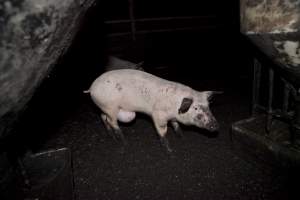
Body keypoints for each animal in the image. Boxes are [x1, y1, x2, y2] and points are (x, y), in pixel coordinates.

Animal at [84, 69, 220, 152]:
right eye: (196, 108)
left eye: (208, 106)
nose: (215, 126)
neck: (175, 105)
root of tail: (91, 88)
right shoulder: (158, 115)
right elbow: (162, 132)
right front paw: (170, 151)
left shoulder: (172, 117)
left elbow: (176, 125)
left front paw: (182, 138)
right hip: (110, 107)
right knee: (113, 122)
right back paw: (124, 142)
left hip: (105, 108)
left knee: (103, 117)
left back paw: (111, 136)